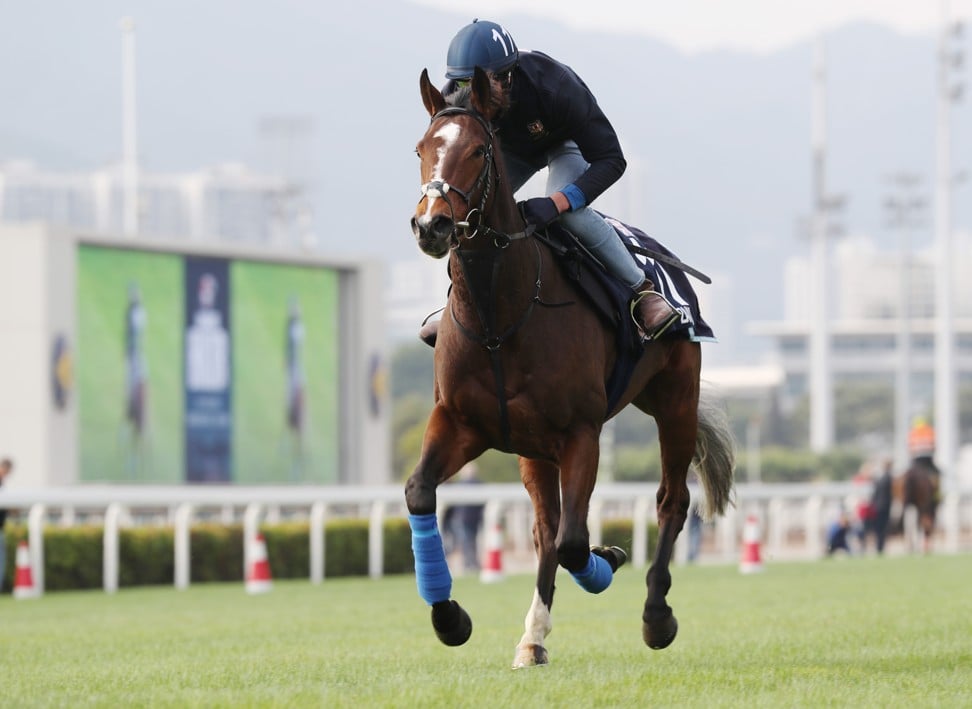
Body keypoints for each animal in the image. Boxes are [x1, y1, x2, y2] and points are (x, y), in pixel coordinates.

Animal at [406, 68, 732, 668]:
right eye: (421, 149)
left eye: (480, 151)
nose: (431, 226)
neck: (500, 316)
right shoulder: (461, 422)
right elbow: (421, 493)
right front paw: (450, 617)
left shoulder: (581, 431)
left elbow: (577, 543)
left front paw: (612, 560)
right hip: (533, 449)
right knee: (544, 529)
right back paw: (532, 637)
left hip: (675, 398)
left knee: (670, 501)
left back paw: (656, 615)